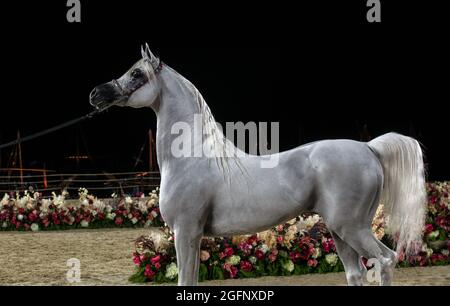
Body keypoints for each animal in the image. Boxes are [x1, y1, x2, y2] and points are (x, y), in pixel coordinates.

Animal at [89, 44, 428, 286]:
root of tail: (369, 147)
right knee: (356, 273)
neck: (191, 158)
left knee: (386, 260)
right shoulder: (192, 236)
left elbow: (186, 281)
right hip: (340, 230)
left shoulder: (185, 232)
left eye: (137, 74)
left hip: (353, 228)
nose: (96, 93)